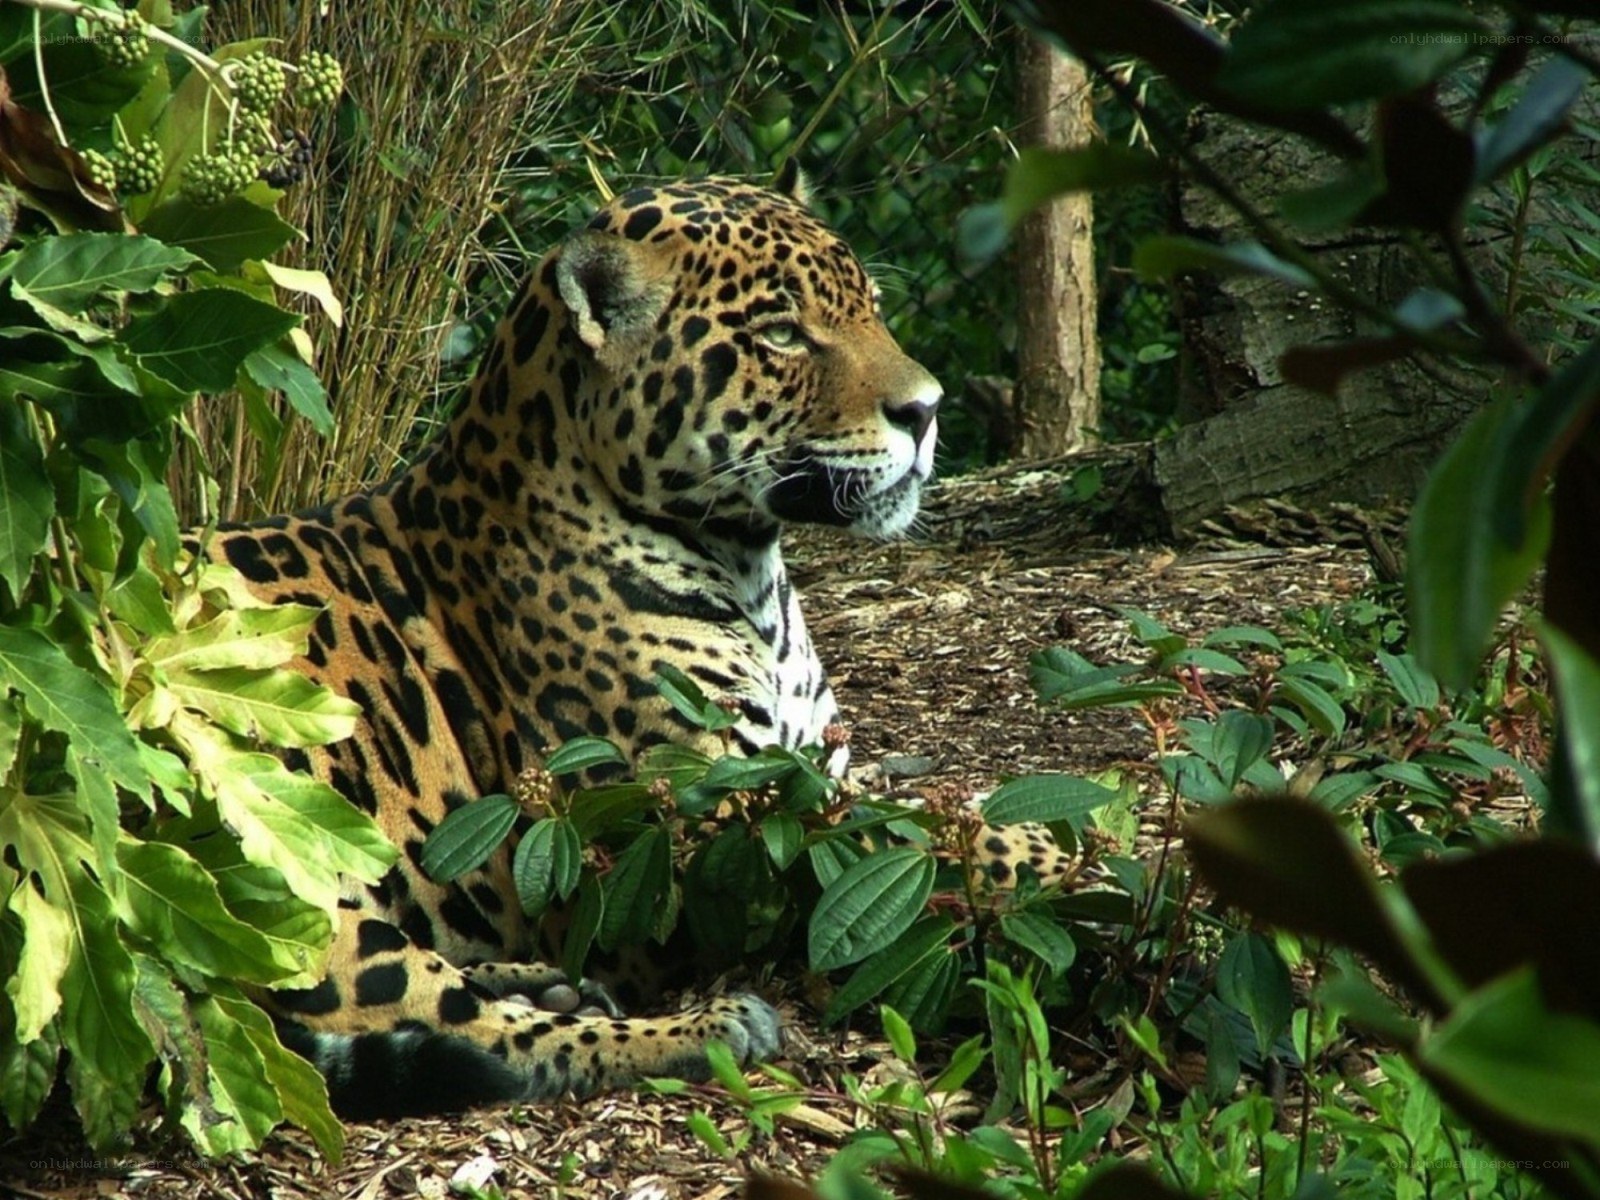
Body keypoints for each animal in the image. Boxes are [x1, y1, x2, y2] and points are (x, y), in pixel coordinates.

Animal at [201, 169, 955, 1119]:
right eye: (781, 333)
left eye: (872, 312)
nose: (927, 410)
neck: (753, 573)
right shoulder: (707, 834)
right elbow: (917, 847)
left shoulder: (813, 770)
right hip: (279, 865)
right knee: (481, 1036)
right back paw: (704, 1026)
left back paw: (547, 980)